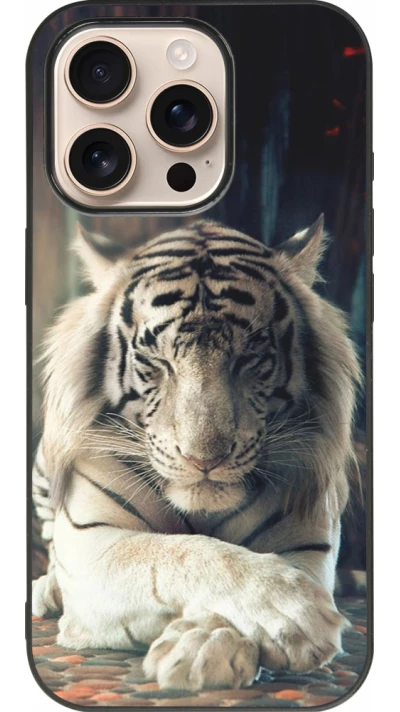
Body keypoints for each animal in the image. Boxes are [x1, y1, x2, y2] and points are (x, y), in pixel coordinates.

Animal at [32, 216, 361, 692]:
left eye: (250, 358)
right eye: (157, 361)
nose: (204, 459)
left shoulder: (307, 543)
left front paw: (205, 646)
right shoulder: (93, 542)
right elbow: (180, 552)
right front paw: (293, 612)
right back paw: (46, 590)